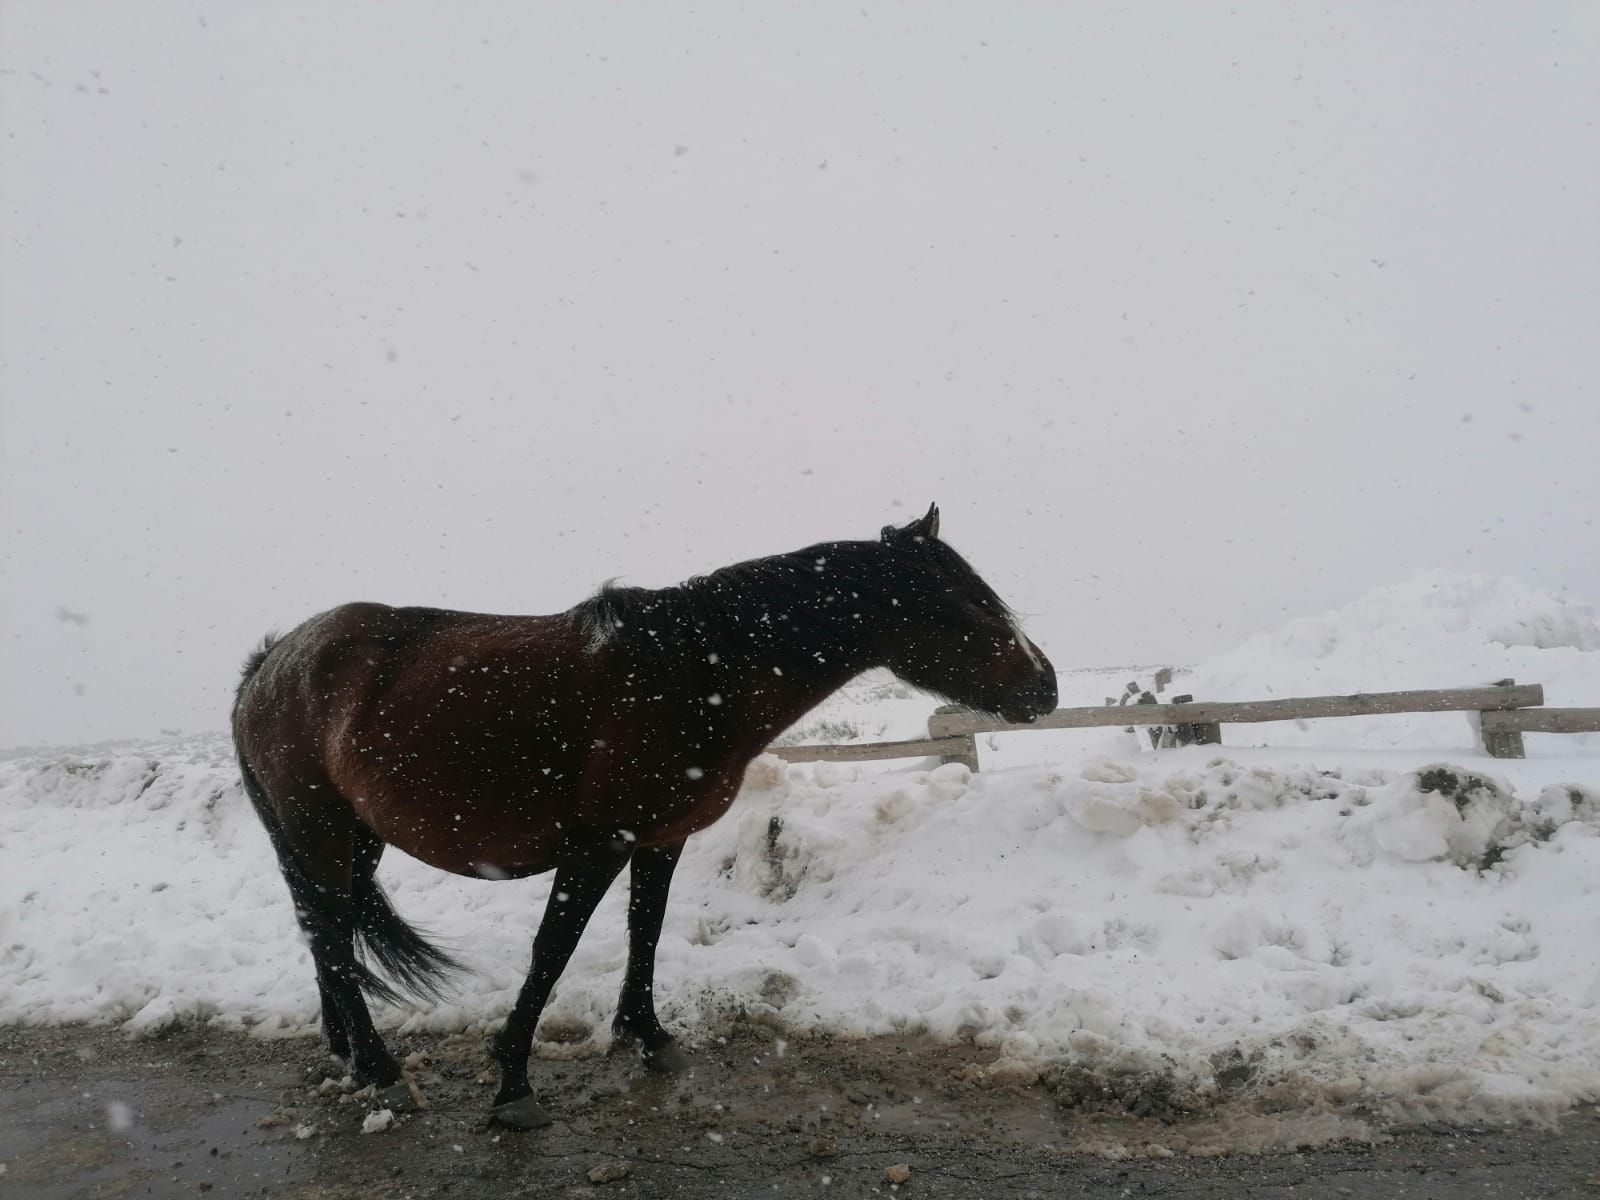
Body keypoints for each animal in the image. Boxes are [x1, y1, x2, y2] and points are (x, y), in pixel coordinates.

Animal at [225, 502, 1049, 1132]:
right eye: (963, 603)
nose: (1045, 686)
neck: (695, 672)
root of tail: (271, 662)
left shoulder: (661, 840)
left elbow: (643, 929)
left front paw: (648, 1037)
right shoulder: (598, 844)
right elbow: (553, 950)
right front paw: (514, 1084)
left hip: (348, 839)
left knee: (322, 930)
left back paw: (348, 1051)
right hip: (320, 830)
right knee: (332, 937)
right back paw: (381, 1069)